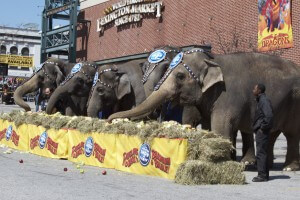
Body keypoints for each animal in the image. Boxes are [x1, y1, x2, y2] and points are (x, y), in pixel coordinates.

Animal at [109, 48, 300, 170]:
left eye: (180, 76)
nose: (110, 119)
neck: (212, 59)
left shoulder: (227, 96)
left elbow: (221, 127)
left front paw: (218, 162)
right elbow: (208, 127)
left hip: (294, 103)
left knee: (291, 134)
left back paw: (288, 168)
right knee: (273, 134)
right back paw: (267, 165)